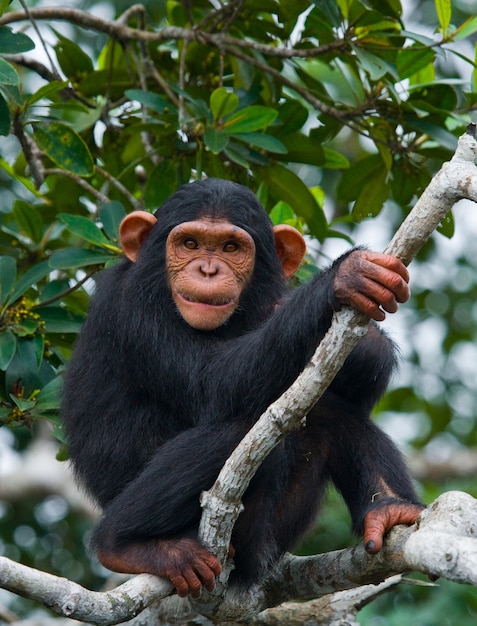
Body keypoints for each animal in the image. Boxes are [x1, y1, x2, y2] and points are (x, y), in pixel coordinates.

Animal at [61, 176, 422, 596]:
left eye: (231, 248)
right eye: (190, 244)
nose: (208, 269)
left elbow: (357, 390)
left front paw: (360, 339)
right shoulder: (133, 308)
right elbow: (214, 382)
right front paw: (343, 279)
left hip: (274, 532)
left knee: (330, 412)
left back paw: (390, 508)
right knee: (243, 424)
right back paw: (126, 544)